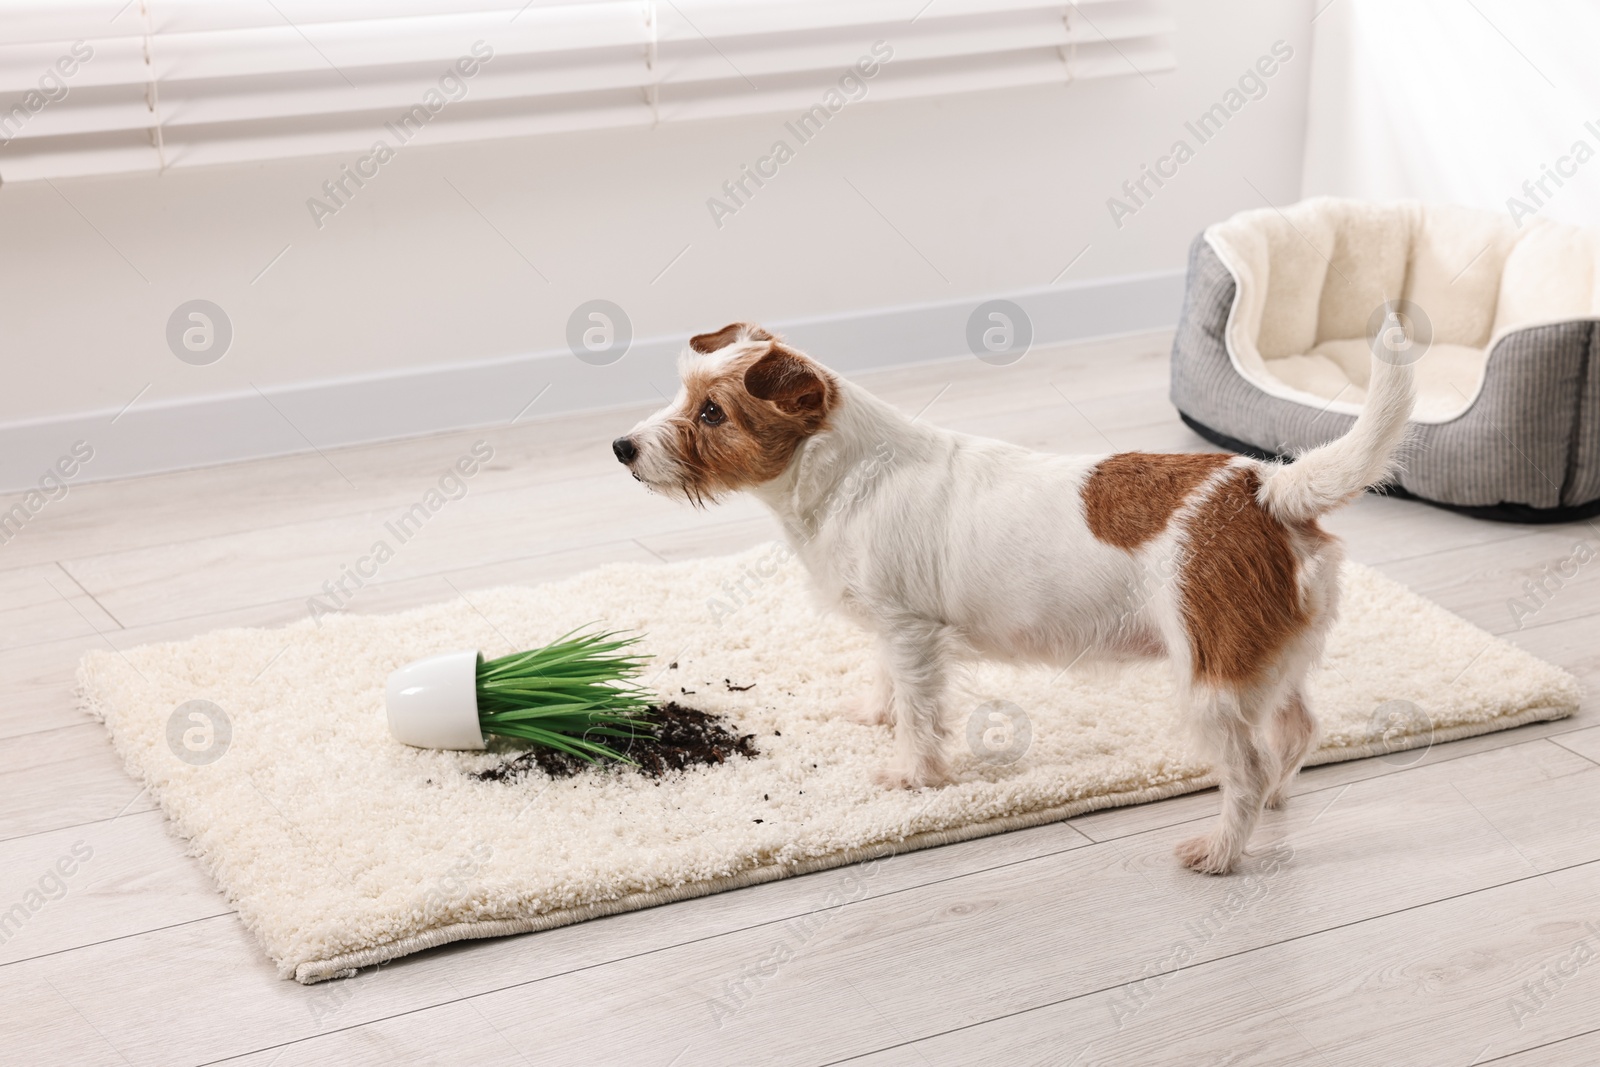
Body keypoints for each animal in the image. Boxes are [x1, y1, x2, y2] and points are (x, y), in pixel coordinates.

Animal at [611, 326, 1414, 876]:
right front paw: (875, 715)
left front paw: (914, 776)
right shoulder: (892, 631)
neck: (849, 472)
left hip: (1212, 681)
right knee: (1298, 729)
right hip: (1266, 660)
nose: (622, 447)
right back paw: (1278, 796)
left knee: (1244, 769)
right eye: (684, 394)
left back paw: (1220, 850)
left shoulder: (912, 632)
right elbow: (888, 683)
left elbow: (922, 714)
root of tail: (1266, 488)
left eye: (712, 414)